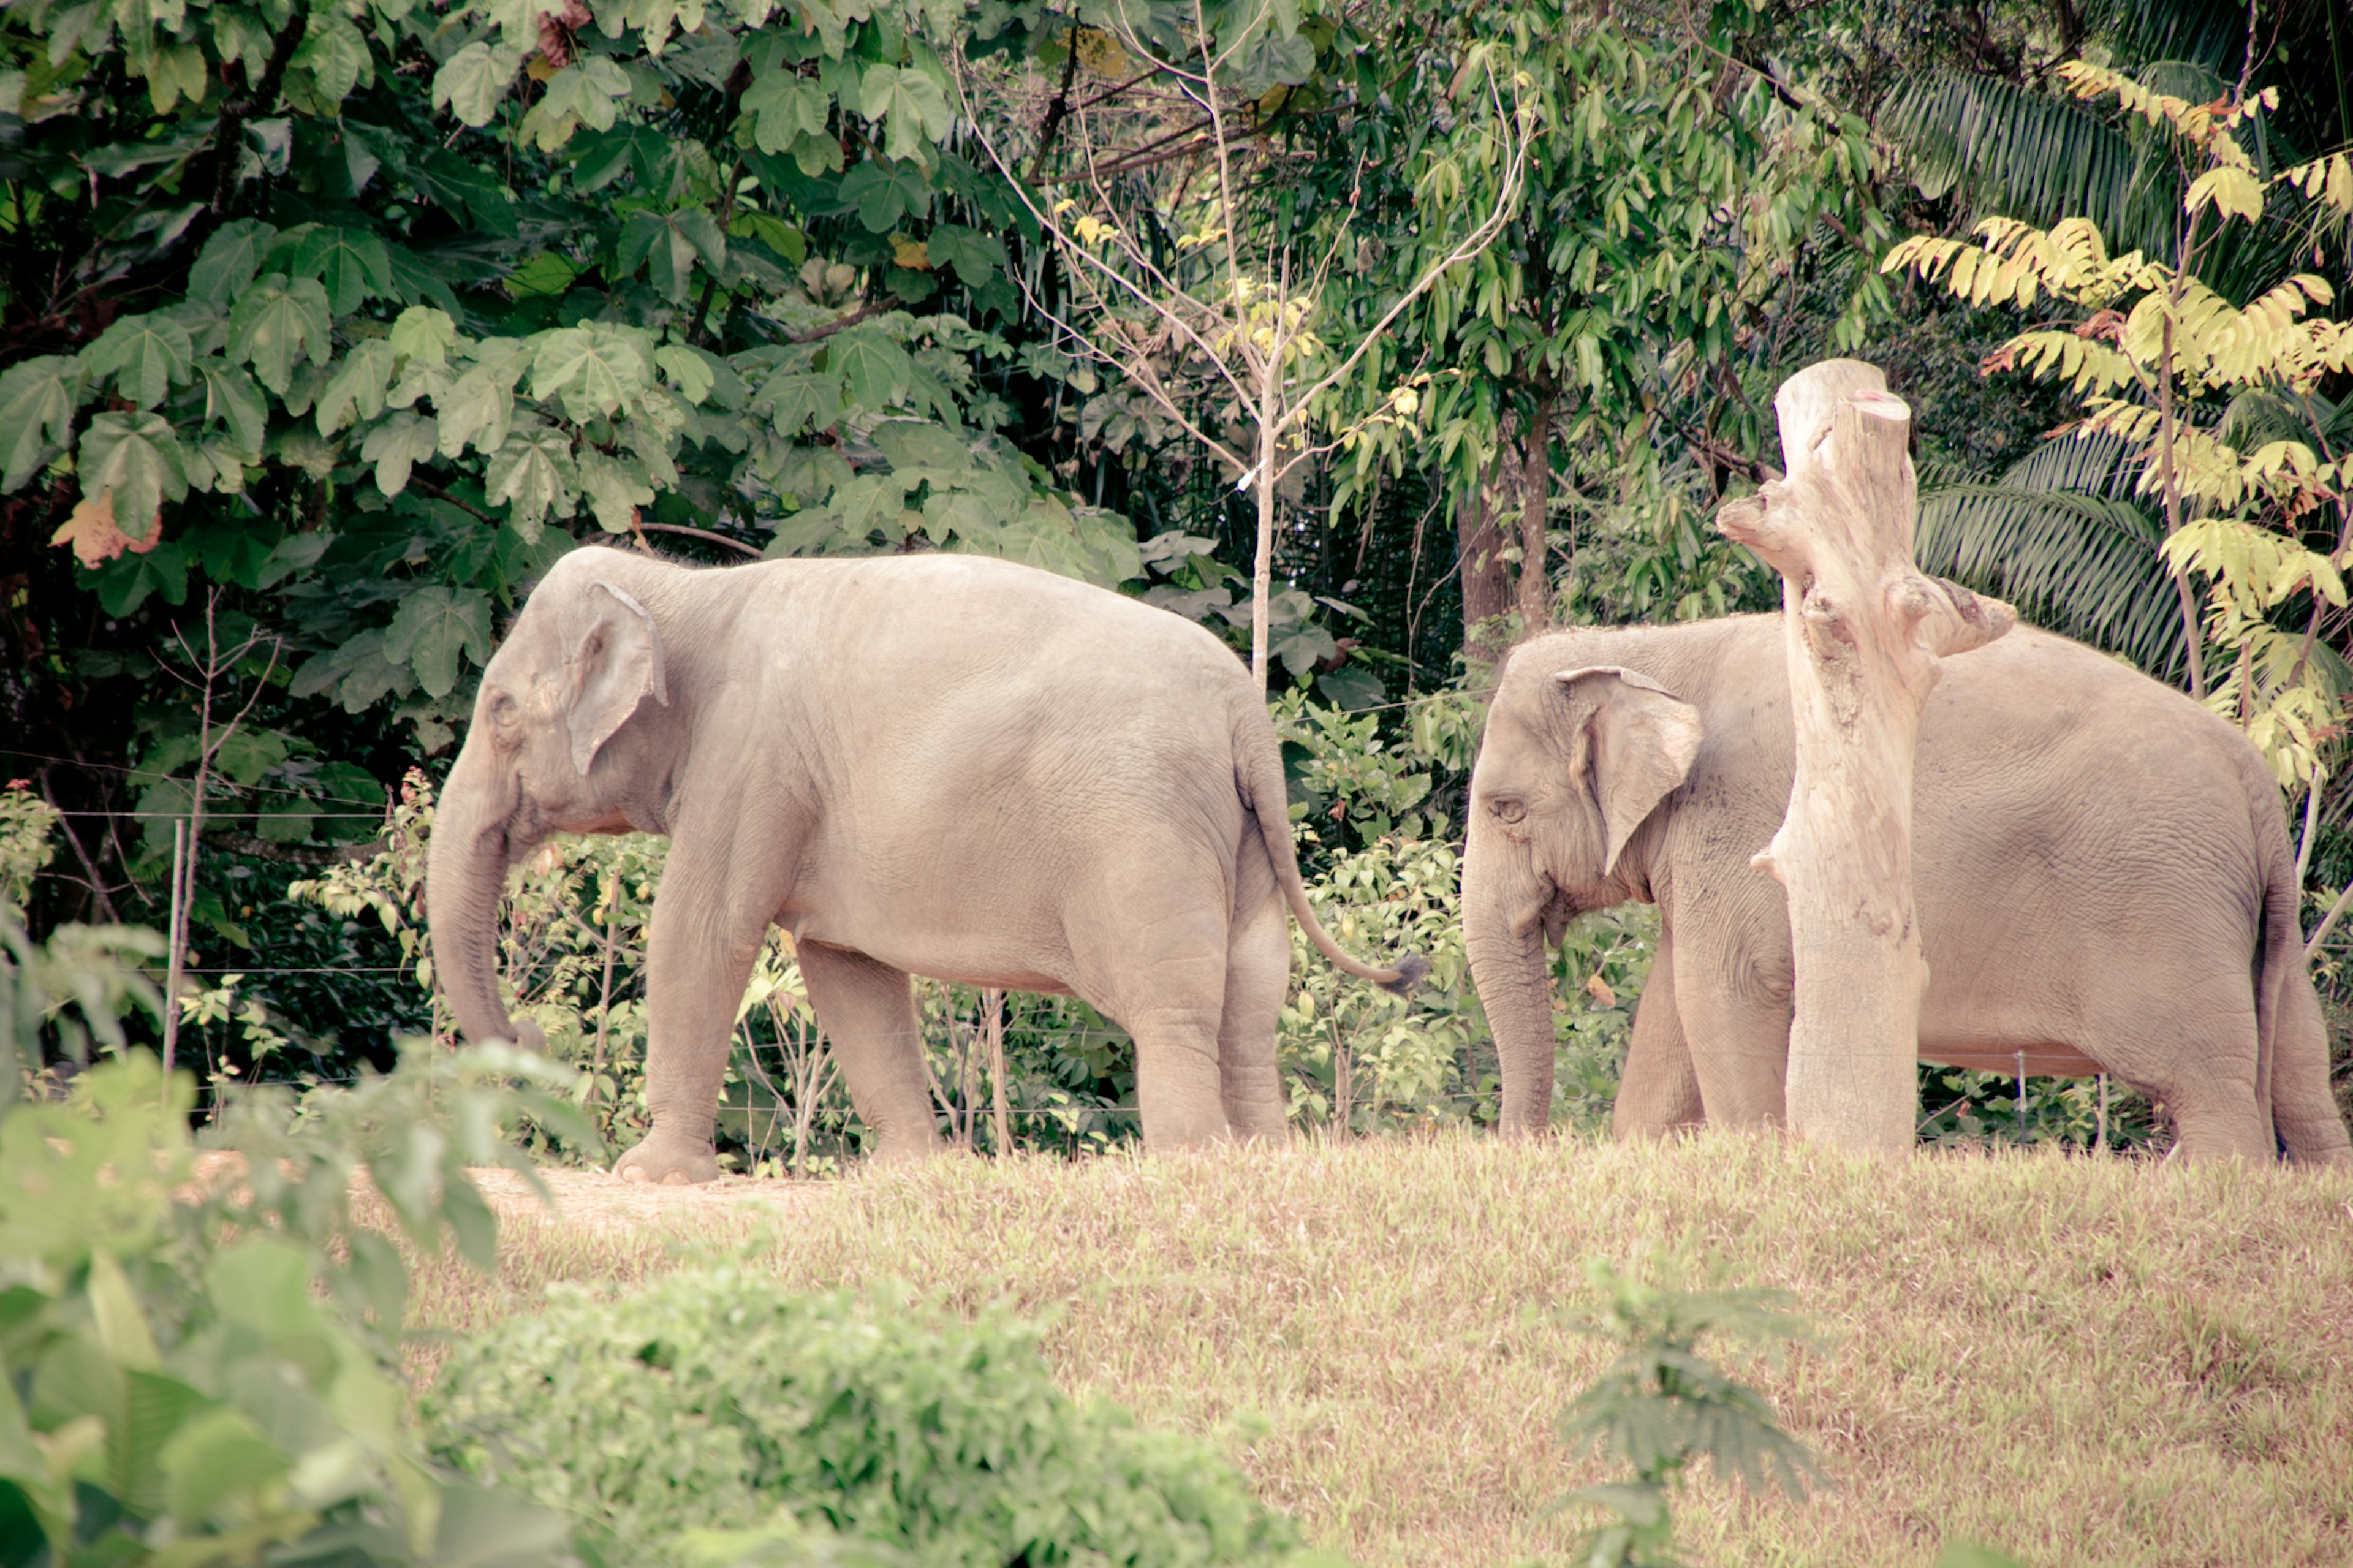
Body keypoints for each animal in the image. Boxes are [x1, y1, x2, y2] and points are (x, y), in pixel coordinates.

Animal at [426, 543, 1421, 1177]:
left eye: (502, 711)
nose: (531, 1036)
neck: (687, 595)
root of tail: (1245, 713)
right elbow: (844, 970)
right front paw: (911, 1173)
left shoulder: (749, 762)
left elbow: (701, 932)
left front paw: (647, 1174)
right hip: (1246, 836)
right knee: (1254, 994)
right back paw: (1262, 1157)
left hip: (1144, 833)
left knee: (1171, 1001)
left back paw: (1190, 1162)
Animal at [1468, 612, 2353, 1158]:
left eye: (1505, 808)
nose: (1526, 1146)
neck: (1657, 650)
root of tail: (2254, 779)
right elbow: (1671, 1013)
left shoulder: (1733, 828)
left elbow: (1716, 997)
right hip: (2258, 934)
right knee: (2303, 1086)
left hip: (2166, 907)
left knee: (2212, 1092)